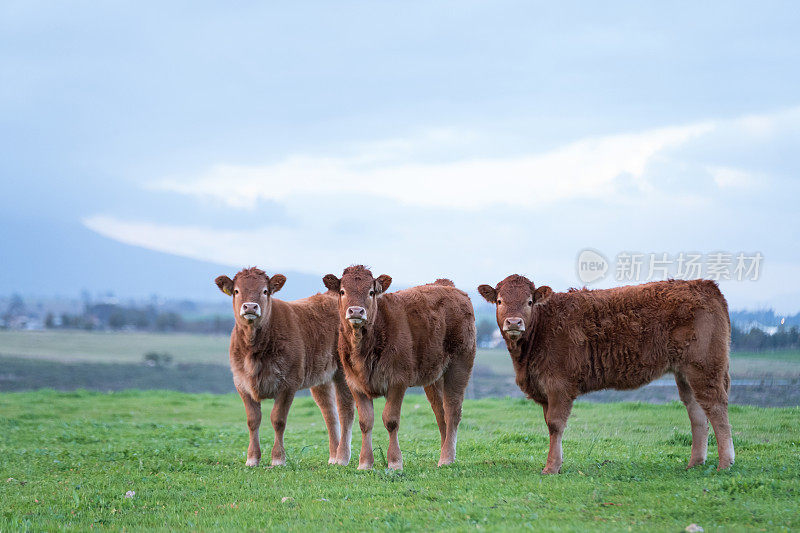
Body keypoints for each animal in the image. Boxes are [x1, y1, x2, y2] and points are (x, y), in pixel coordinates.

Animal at [212, 266, 354, 466]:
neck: (254, 349)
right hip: (321, 378)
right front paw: (252, 458)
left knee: (345, 410)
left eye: (265, 291)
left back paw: (342, 457)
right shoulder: (242, 383)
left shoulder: (288, 384)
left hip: (343, 372)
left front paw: (278, 459)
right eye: (237, 291)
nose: (250, 307)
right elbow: (252, 420)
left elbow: (278, 420)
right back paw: (333, 457)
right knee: (329, 413)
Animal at [324, 266, 476, 470]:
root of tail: (447, 285)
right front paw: (365, 463)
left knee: (453, 410)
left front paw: (395, 461)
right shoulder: (355, 384)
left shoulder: (397, 380)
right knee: (440, 413)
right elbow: (365, 422)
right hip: (434, 377)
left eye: (371, 292)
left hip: (460, 364)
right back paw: (445, 453)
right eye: (342, 291)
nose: (356, 311)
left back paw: (446, 458)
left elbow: (391, 420)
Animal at [478, 276, 736, 472]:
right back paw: (695, 463)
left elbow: (555, 424)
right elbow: (549, 424)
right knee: (696, 410)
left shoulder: (559, 384)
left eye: (529, 301)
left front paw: (551, 467)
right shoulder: (543, 389)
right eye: (499, 301)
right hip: (685, 372)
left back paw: (725, 463)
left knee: (716, 407)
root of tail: (704, 284)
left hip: (705, 366)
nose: (514, 322)